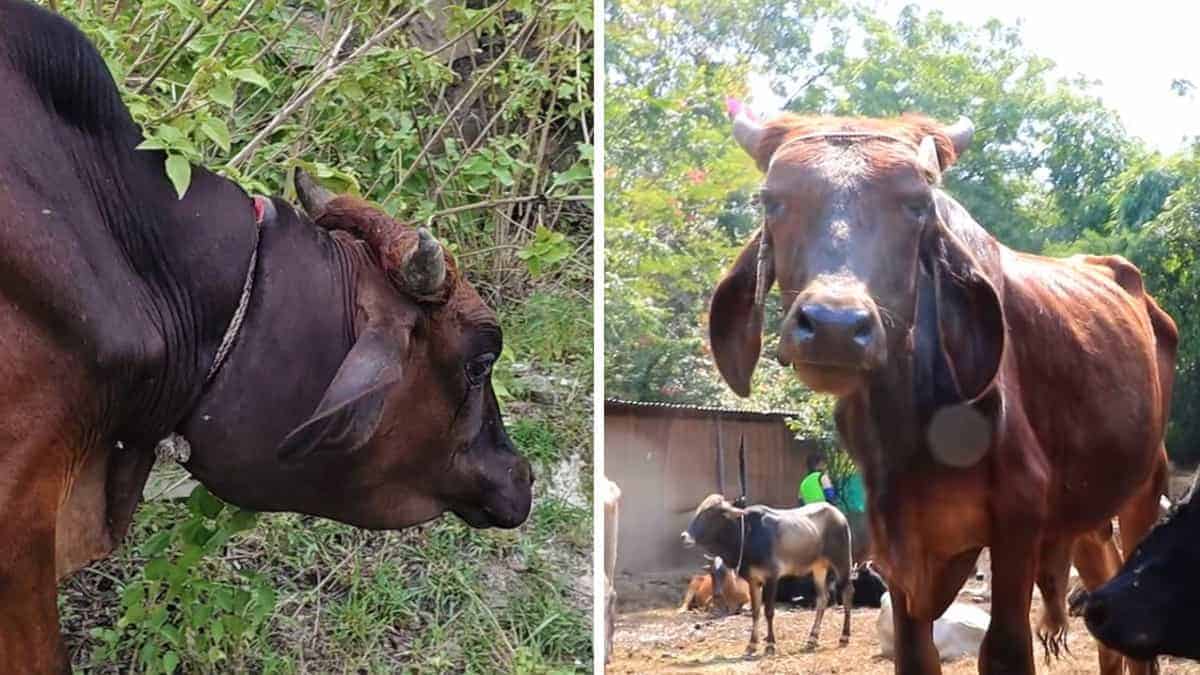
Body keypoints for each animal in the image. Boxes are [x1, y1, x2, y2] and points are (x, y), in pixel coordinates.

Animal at [686, 492, 854, 653]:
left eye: (709, 513)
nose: (685, 536)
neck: (746, 535)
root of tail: (838, 513)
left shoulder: (772, 577)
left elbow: (769, 612)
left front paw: (770, 645)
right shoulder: (753, 581)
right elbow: (755, 612)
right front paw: (751, 645)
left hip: (842, 562)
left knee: (847, 593)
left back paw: (844, 637)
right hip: (819, 568)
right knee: (822, 599)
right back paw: (812, 639)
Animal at [710, 99, 1171, 672]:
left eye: (916, 205)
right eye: (772, 201)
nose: (836, 325)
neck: (913, 424)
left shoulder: (1017, 519)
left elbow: (1005, 649)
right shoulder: (899, 545)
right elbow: (915, 651)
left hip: (1146, 484)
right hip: (1086, 511)